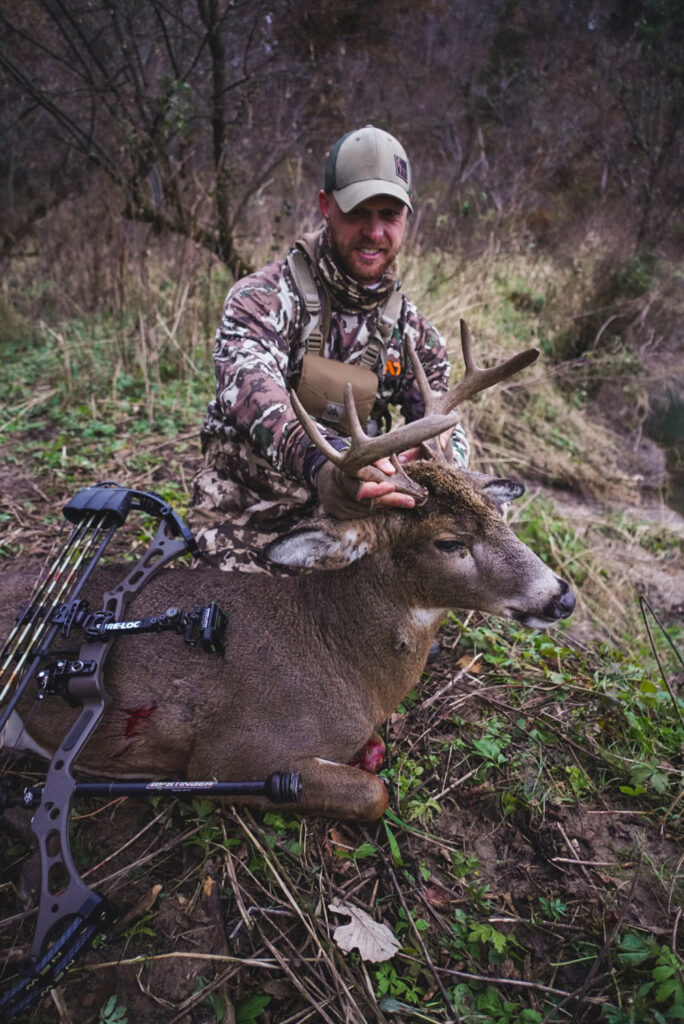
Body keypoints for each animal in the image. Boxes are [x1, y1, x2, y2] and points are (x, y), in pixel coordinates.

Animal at [1, 323, 574, 821]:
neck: (343, 661)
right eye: (449, 542)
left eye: (498, 513)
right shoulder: (229, 756)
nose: (562, 597)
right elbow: (376, 793)